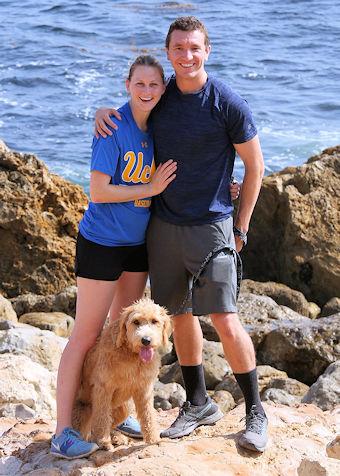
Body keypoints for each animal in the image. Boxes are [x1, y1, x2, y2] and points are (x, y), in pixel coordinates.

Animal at [72, 298, 171, 450]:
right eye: (136, 321)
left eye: (154, 321)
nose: (146, 340)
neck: (131, 354)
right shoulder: (103, 388)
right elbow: (102, 416)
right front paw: (103, 442)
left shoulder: (145, 389)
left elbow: (148, 414)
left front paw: (153, 439)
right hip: (83, 410)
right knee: (89, 430)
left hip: (125, 408)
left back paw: (117, 437)